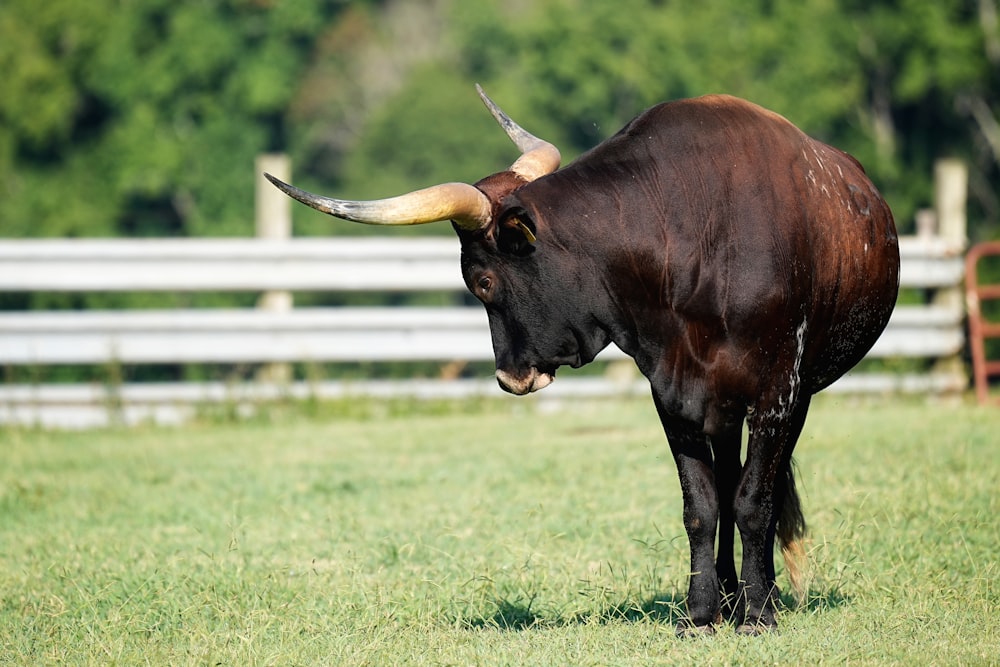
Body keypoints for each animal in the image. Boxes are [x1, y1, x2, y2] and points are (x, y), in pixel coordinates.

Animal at [264, 86, 900, 636]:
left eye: (482, 281)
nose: (510, 377)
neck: (691, 234)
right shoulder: (672, 395)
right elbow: (701, 507)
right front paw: (700, 616)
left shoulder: (779, 393)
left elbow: (754, 503)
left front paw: (760, 615)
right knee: (723, 481)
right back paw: (726, 596)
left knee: (751, 490)